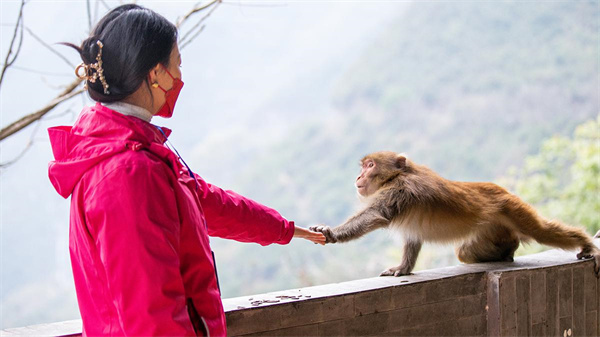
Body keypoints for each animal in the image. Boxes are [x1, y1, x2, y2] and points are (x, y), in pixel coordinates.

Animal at [312, 152, 600, 276]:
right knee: (465, 252)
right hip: (494, 230)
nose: (358, 177)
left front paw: (330, 233)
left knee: (541, 231)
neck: (397, 176)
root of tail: (503, 191)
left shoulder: (399, 191)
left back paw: (586, 244)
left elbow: (375, 216)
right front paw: (404, 268)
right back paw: (506, 252)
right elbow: (413, 238)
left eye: (370, 165)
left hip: (514, 210)